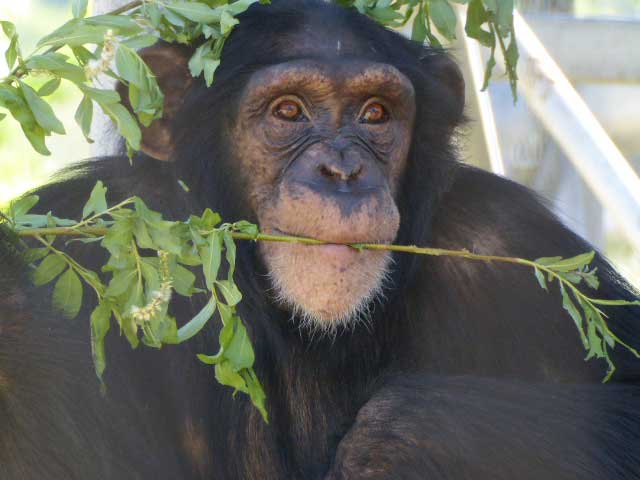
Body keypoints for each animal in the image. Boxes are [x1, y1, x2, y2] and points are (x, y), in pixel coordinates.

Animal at [1, 0, 640, 478]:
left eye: (376, 113)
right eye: (288, 111)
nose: (342, 171)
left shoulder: (508, 239)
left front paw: (393, 445)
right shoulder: (92, 235)